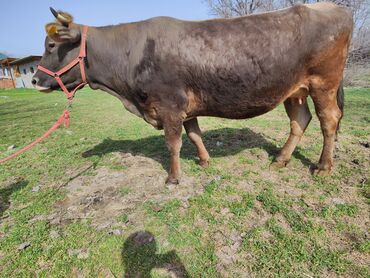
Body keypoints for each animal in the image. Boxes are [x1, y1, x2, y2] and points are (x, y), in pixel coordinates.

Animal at [31, 3, 352, 185]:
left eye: (51, 45)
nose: (34, 79)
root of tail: (330, 7)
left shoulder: (169, 105)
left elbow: (173, 143)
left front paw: (173, 178)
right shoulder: (186, 108)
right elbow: (195, 134)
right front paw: (204, 161)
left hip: (323, 83)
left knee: (328, 121)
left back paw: (323, 167)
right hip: (294, 90)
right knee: (300, 119)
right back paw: (281, 159)